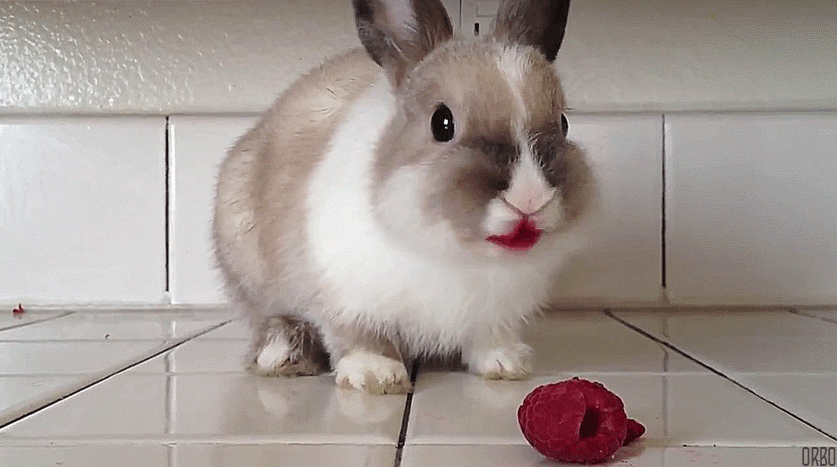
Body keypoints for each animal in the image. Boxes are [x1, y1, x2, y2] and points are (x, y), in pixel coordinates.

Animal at [212, 0, 594, 394]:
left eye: (563, 123)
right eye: (442, 123)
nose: (530, 198)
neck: (454, 255)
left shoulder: (495, 314)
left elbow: (489, 337)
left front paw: (506, 364)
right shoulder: (345, 295)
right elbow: (360, 336)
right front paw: (376, 374)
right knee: (270, 317)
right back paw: (282, 353)